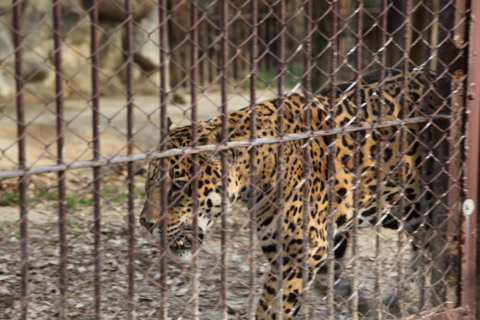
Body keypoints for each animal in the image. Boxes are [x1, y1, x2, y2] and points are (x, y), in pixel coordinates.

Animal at [139, 66, 436, 318]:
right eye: (148, 182)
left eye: (178, 185)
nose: (145, 223)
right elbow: (329, 280)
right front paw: (361, 302)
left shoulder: (301, 248)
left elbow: (274, 306)